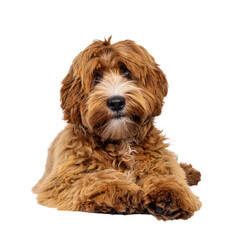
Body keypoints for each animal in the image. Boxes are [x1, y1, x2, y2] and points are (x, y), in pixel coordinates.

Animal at [32, 38, 202, 221]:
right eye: (97, 77)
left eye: (127, 73)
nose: (116, 102)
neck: (121, 141)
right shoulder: (61, 181)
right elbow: (95, 179)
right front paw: (122, 192)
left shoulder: (160, 160)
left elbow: (167, 175)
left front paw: (169, 194)